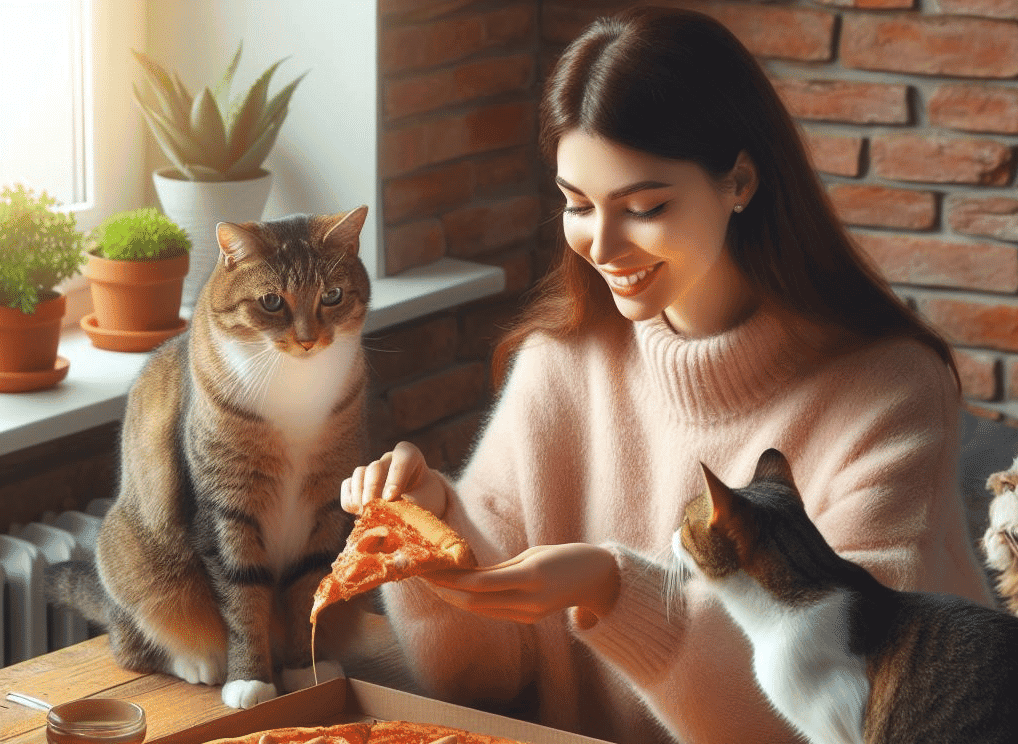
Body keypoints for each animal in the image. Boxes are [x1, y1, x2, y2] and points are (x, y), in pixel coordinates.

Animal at [44, 206, 370, 708]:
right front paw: (251, 680)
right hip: (134, 557)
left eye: (332, 295)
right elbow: (242, 597)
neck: (296, 387)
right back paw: (200, 663)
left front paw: (304, 670)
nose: (308, 340)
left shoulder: (326, 503)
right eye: (271, 302)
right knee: (136, 645)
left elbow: (306, 590)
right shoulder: (226, 505)